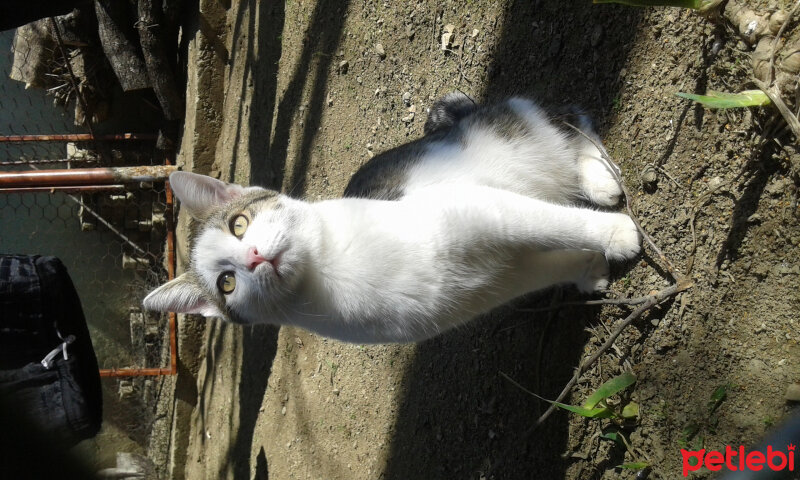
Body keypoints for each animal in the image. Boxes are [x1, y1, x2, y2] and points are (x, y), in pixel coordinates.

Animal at [144, 93, 640, 342]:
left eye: (240, 224)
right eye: (227, 282)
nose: (252, 257)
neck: (332, 271)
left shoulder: (484, 210)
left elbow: (556, 223)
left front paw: (617, 235)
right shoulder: (505, 281)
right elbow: (550, 261)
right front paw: (589, 269)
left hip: (518, 130)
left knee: (568, 120)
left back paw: (599, 178)